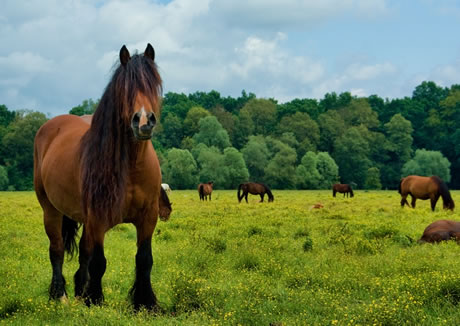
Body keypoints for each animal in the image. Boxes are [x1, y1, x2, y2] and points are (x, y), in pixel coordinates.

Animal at [34, 44, 167, 310]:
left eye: (153, 84)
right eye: (124, 88)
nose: (144, 121)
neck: (132, 166)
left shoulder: (148, 217)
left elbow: (144, 259)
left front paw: (144, 303)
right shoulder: (98, 217)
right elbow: (99, 261)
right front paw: (94, 300)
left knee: (82, 251)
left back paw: (78, 292)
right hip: (51, 210)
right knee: (57, 249)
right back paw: (59, 295)